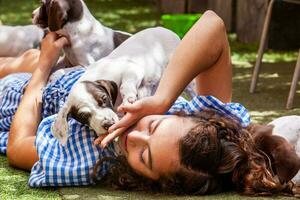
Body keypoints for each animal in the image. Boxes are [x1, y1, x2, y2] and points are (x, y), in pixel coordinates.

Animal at [51, 27, 182, 145]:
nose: (108, 124)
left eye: (104, 99)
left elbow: (125, 85)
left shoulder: (132, 69)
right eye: (83, 115)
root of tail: (164, 29)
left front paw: (129, 97)